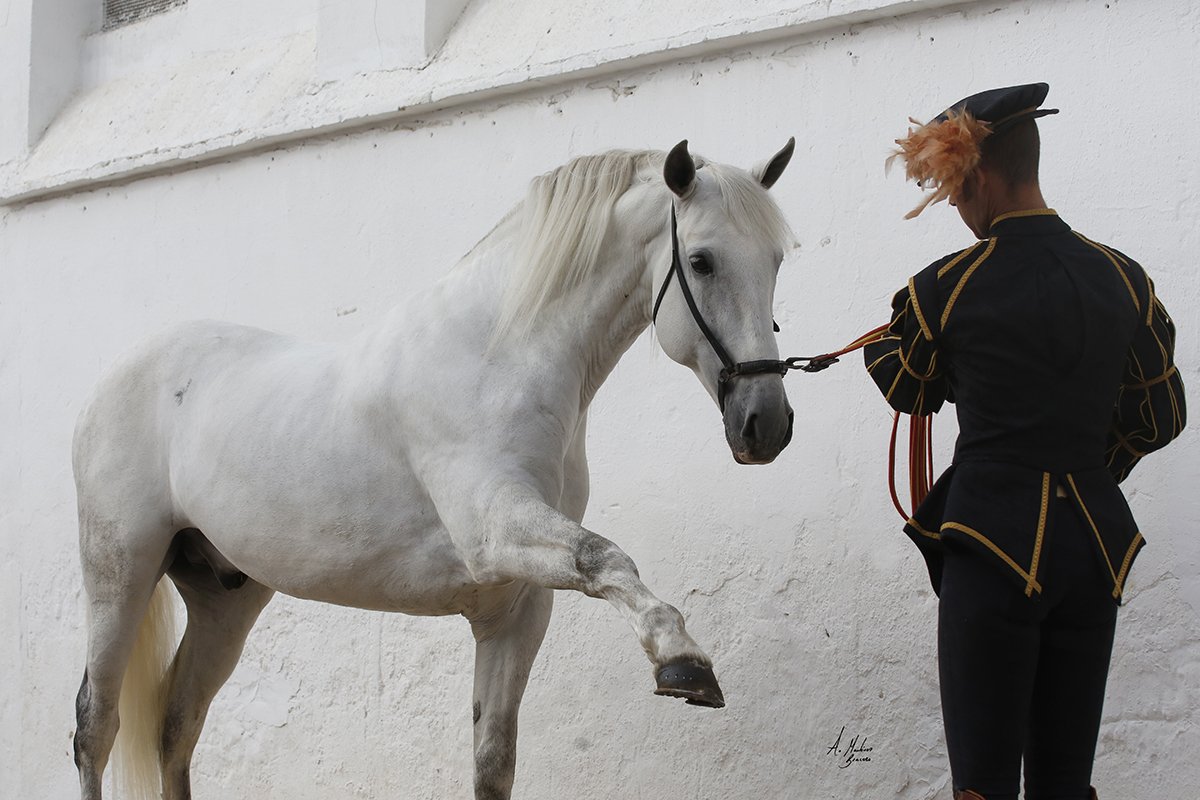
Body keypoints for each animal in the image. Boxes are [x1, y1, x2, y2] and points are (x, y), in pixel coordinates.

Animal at [71, 138, 797, 800]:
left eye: (776, 260)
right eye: (701, 261)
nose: (767, 425)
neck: (498, 359)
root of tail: (116, 379)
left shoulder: (515, 608)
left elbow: (493, 763)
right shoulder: (493, 533)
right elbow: (607, 559)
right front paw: (683, 663)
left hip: (226, 599)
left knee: (177, 726)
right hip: (120, 575)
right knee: (95, 727)